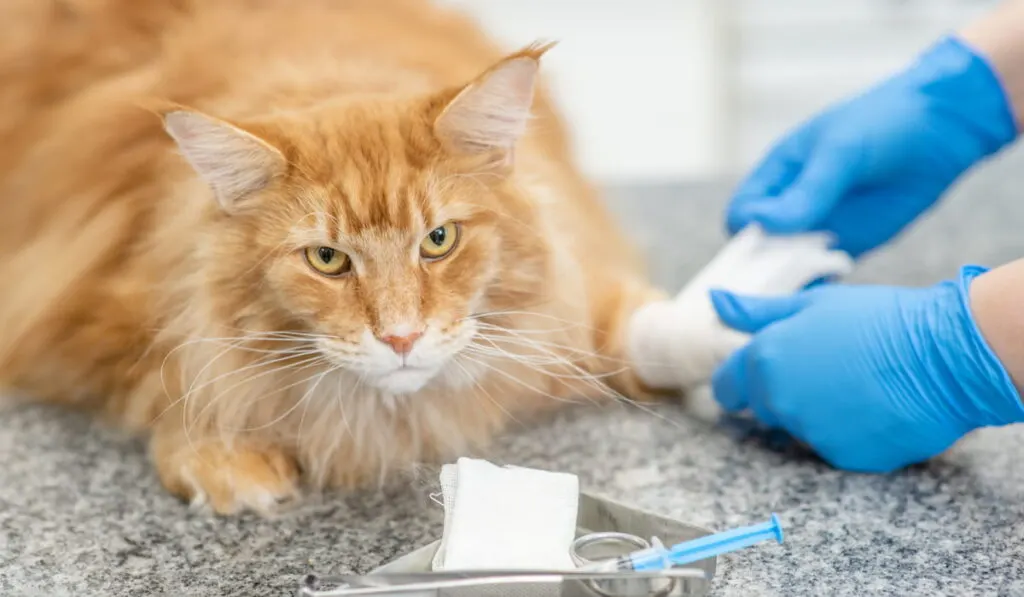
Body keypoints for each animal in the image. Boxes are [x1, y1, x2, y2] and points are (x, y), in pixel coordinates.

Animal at [0, 0, 667, 514]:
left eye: (439, 240)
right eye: (327, 258)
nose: (402, 338)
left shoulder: (579, 298)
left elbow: (648, 328)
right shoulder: (76, 305)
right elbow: (176, 380)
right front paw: (224, 459)